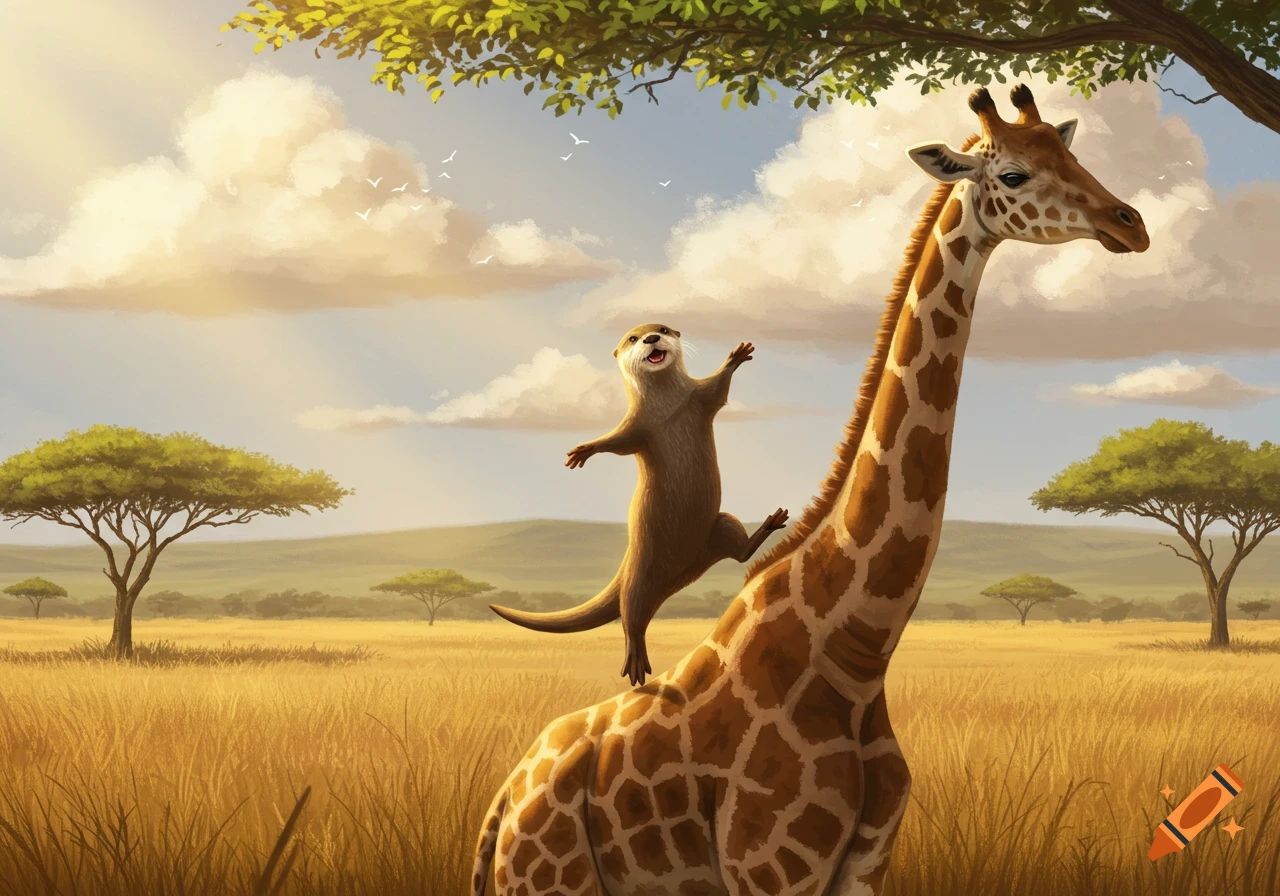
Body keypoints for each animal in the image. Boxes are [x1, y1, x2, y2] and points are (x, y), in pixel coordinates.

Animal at [489, 323, 788, 686]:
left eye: (662, 328)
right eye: (633, 338)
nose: (651, 339)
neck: (668, 409)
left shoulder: (697, 398)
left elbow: (717, 388)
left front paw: (737, 355)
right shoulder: (637, 425)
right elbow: (616, 442)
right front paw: (584, 450)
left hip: (722, 523)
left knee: (739, 552)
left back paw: (772, 523)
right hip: (641, 569)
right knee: (631, 616)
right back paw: (635, 663)